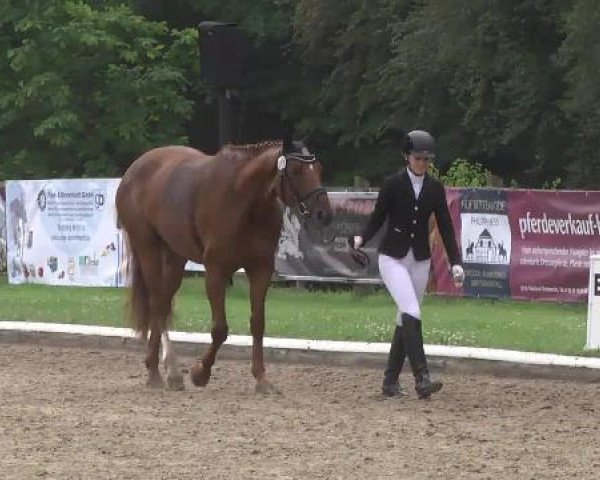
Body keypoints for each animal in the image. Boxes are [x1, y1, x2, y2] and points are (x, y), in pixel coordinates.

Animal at [117, 140, 332, 394]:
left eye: (319, 169)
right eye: (296, 171)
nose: (324, 214)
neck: (245, 201)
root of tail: (134, 168)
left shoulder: (261, 270)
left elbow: (258, 323)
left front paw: (261, 379)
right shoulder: (216, 272)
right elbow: (220, 329)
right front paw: (200, 373)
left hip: (175, 258)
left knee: (163, 305)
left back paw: (170, 372)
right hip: (147, 248)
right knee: (156, 305)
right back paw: (156, 373)